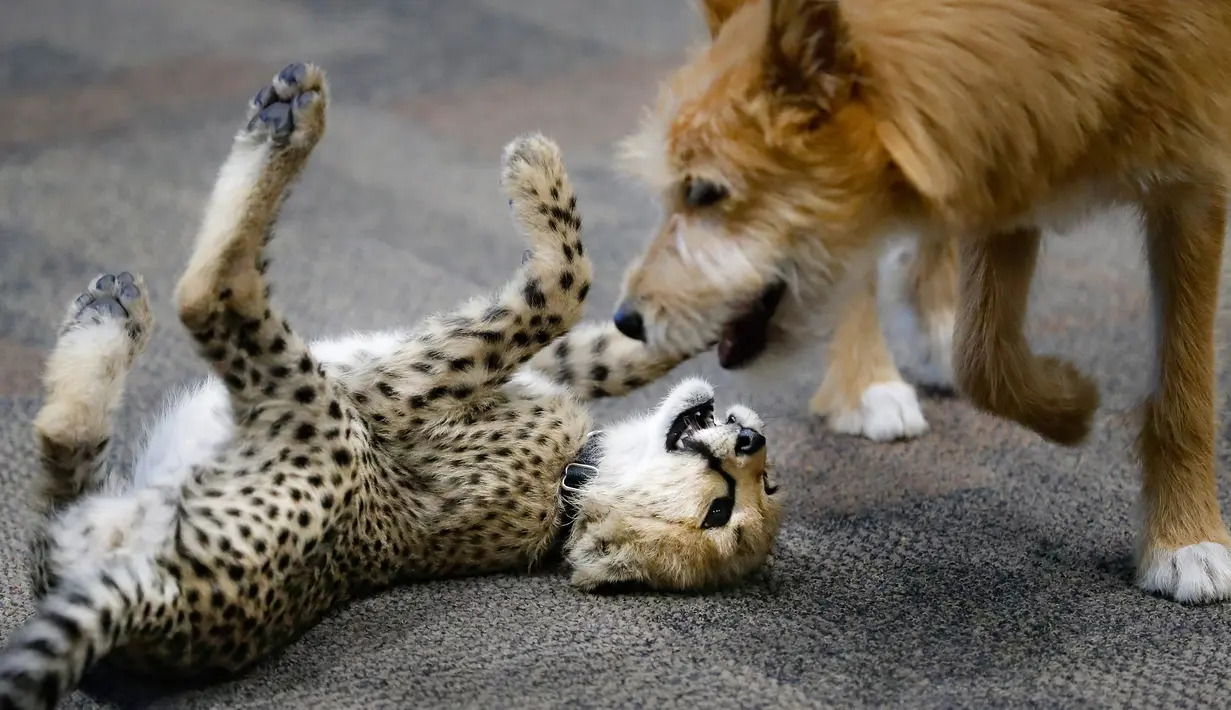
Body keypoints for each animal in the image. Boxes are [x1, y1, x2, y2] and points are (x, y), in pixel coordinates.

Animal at [0, 62, 783, 710]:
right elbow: (610, 346)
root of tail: (159, 604)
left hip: (314, 405)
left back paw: (286, 123)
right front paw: (726, 299)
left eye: (721, 511)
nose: (751, 437)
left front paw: (535, 172)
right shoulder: (551, 372)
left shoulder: (401, 387)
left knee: (210, 292)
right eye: (757, 489)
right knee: (65, 448)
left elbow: (561, 288)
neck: (572, 481)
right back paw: (110, 316)